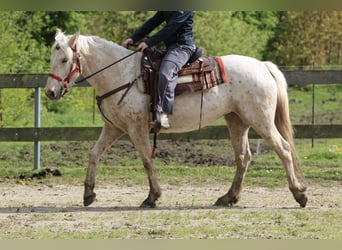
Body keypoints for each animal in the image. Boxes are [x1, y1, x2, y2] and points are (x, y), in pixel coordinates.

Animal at [44, 29, 308, 208]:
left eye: (65, 59)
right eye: (51, 59)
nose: (50, 92)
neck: (121, 74)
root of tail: (263, 66)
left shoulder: (136, 129)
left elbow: (146, 160)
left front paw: (152, 196)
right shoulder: (114, 128)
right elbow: (94, 154)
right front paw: (88, 194)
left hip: (261, 120)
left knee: (284, 149)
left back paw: (299, 194)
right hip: (237, 120)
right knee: (243, 157)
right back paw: (228, 197)